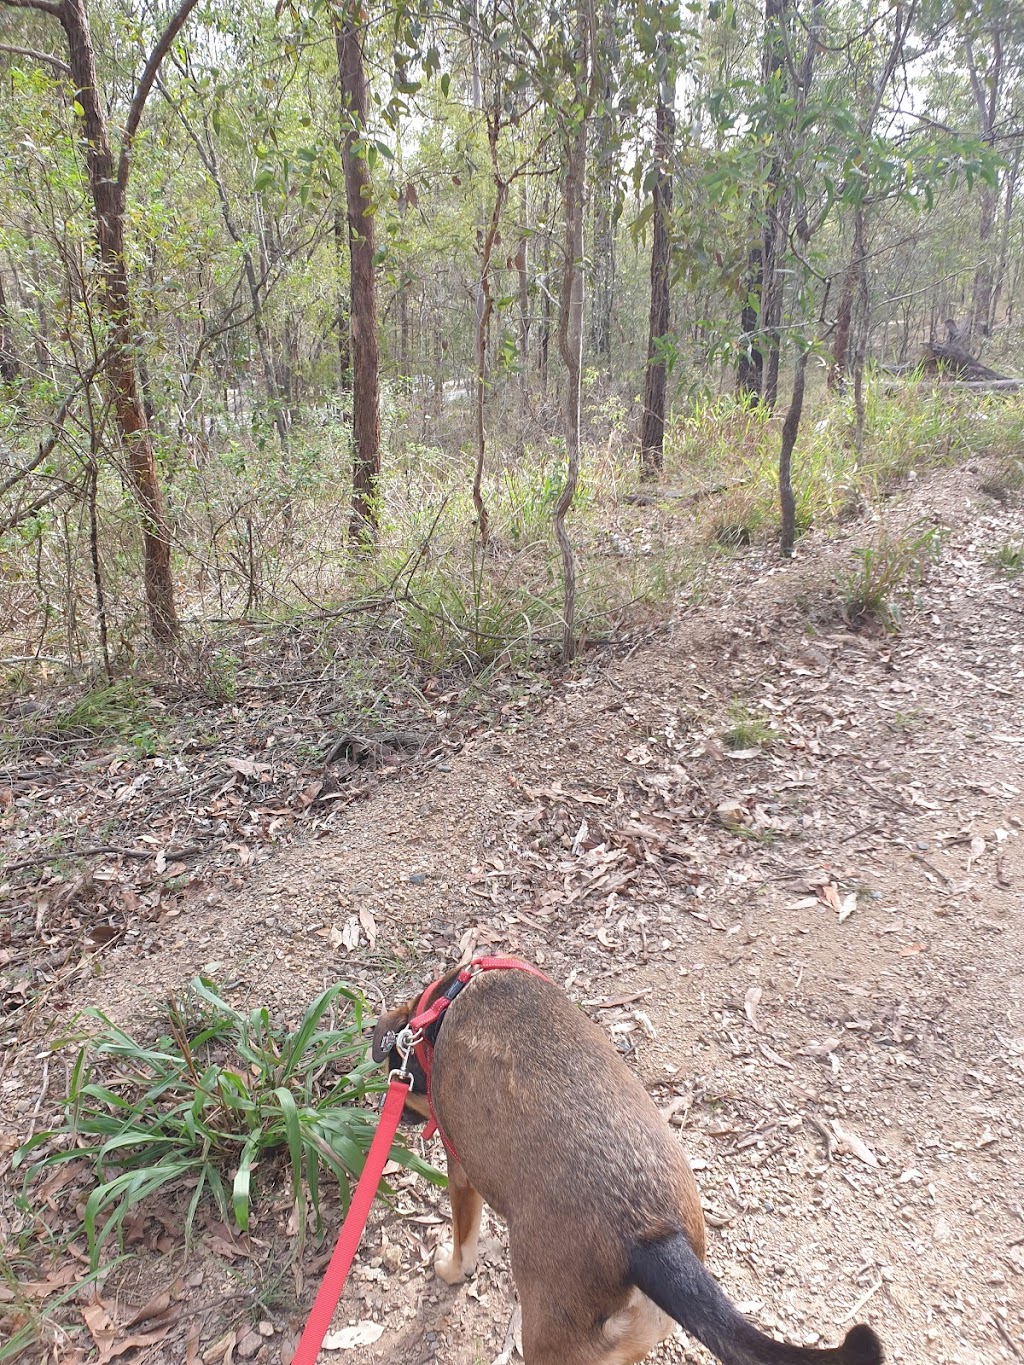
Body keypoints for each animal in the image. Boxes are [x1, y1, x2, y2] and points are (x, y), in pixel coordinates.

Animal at [374, 966, 884, 1359]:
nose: (389, 1109)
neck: (445, 1004)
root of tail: (651, 1238)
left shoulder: (461, 1172)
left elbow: (463, 1245)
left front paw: (450, 1269)